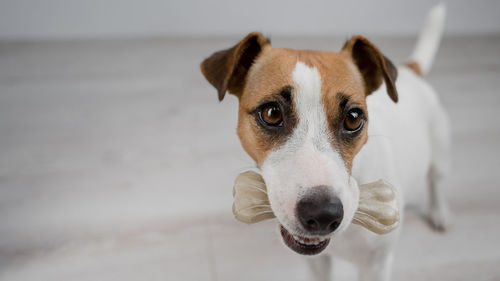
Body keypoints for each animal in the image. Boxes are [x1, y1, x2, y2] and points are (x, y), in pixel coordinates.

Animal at [199, 4, 450, 280]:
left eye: (353, 118)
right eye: (271, 113)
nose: (322, 214)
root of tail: (409, 70)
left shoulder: (376, 266)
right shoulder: (315, 262)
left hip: (439, 153)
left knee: (435, 181)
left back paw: (439, 213)